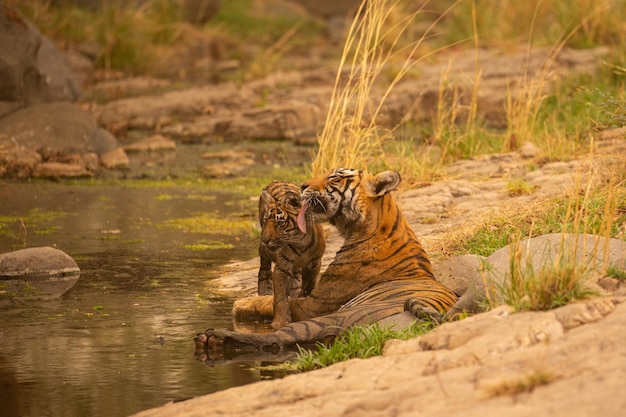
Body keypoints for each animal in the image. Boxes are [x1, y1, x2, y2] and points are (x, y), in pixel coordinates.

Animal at [256, 180, 324, 330]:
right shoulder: (282, 267)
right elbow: (280, 297)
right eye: (266, 220)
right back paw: (264, 291)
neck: (300, 243)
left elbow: (309, 284)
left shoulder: (315, 263)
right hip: (264, 253)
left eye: (280, 222)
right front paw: (280, 322)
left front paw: (301, 298)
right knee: (264, 269)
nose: (264, 239)